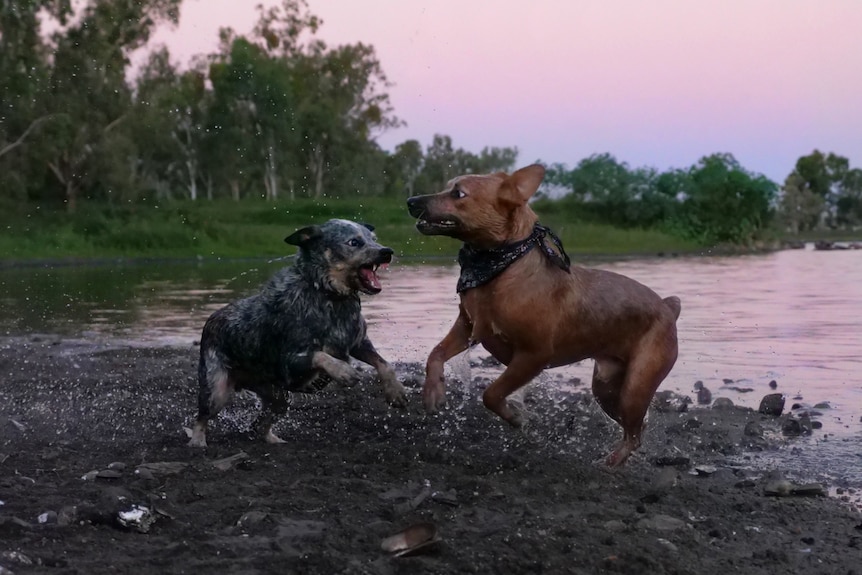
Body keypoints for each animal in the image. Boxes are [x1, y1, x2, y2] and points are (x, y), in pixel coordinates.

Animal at [188, 218, 408, 448]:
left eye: (373, 239)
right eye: (354, 242)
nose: (387, 251)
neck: (327, 294)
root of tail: (211, 319)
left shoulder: (357, 342)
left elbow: (383, 363)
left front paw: (395, 391)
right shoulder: (290, 362)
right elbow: (320, 355)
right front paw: (343, 371)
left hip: (277, 396)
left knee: (259, 424)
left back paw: (273, 439)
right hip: (217, 388)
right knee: (202, 416)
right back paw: (197, 441)